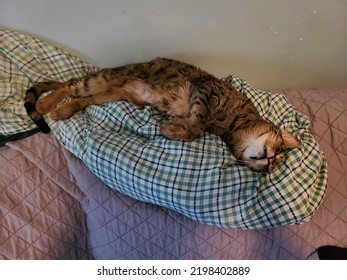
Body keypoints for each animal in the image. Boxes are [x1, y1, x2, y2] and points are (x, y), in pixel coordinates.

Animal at [25, 57, 302, 171]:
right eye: (278, 149)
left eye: (275, 163)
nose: (269, 162)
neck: (232, 123)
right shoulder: (205, 90)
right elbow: (196, 126)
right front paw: (175, 126)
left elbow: (193, 128)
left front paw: (174, 126)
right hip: (99, 81)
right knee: (66, 85)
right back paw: (47, 103)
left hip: (109, 95)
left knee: (82, 99)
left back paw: (63, 108)